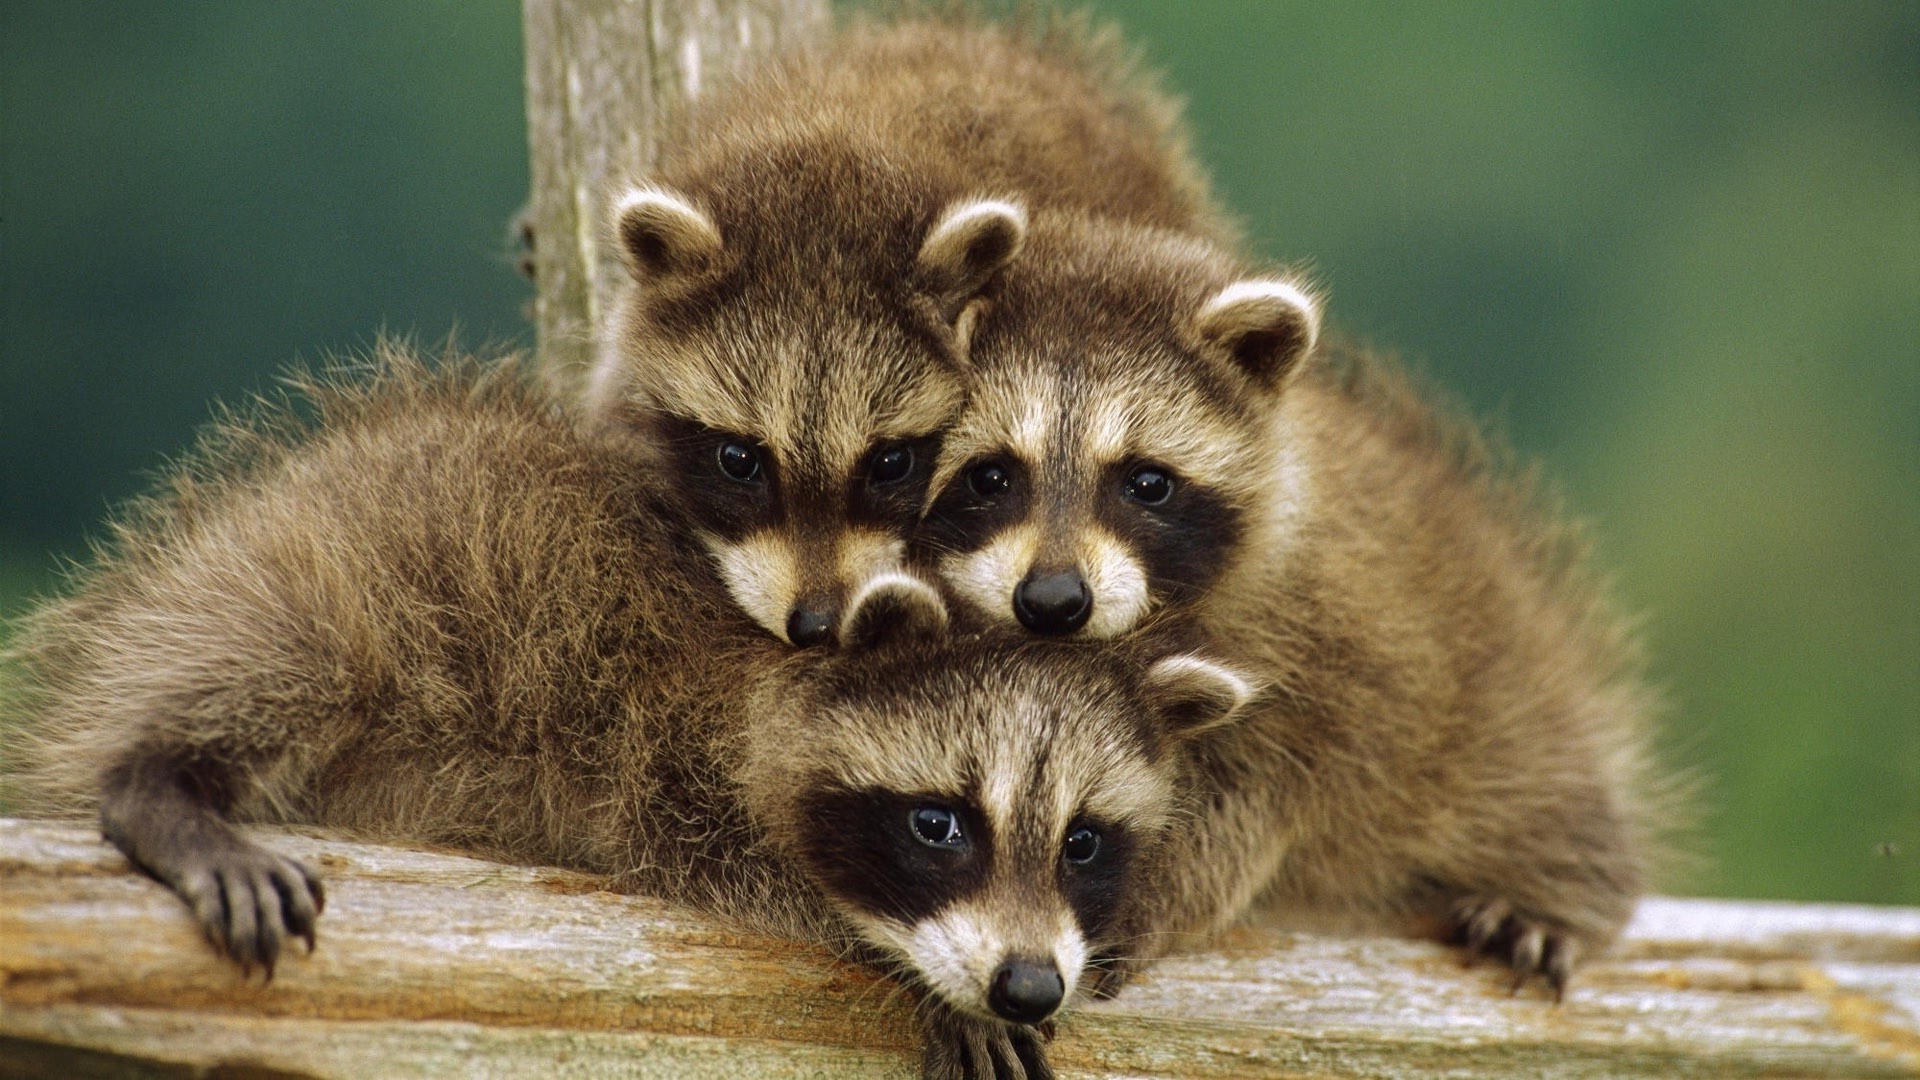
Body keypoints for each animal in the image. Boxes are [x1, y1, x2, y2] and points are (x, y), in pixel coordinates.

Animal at [3, 345, 1259, 1076]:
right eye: (941, 824)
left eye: (1084, 843)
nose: (1028, 982)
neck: (781, 667)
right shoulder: (666, 745)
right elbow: (753, 868)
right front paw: (917, 971)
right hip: (318, 574)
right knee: (274, 659)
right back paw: (155, 783)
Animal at [921, 208, 1658, 983]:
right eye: (989, 475)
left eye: (1146, 481)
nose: (1054, 600)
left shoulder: (1329, 661)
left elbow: (1245, 809)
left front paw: (1132, 890)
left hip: (1506, 713)